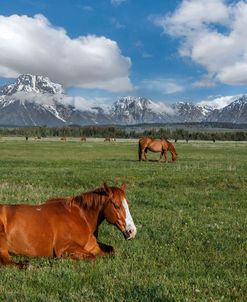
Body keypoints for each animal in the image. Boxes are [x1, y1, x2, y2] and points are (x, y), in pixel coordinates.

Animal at [0, 183, 136, 268]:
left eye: (128, 205)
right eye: (116, 205)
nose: (132, 231)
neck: (80, 217)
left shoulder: (92, 246)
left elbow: (111, 250)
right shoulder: (65, 247)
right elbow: (92, 257)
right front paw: (60, 259)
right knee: (7, 262)